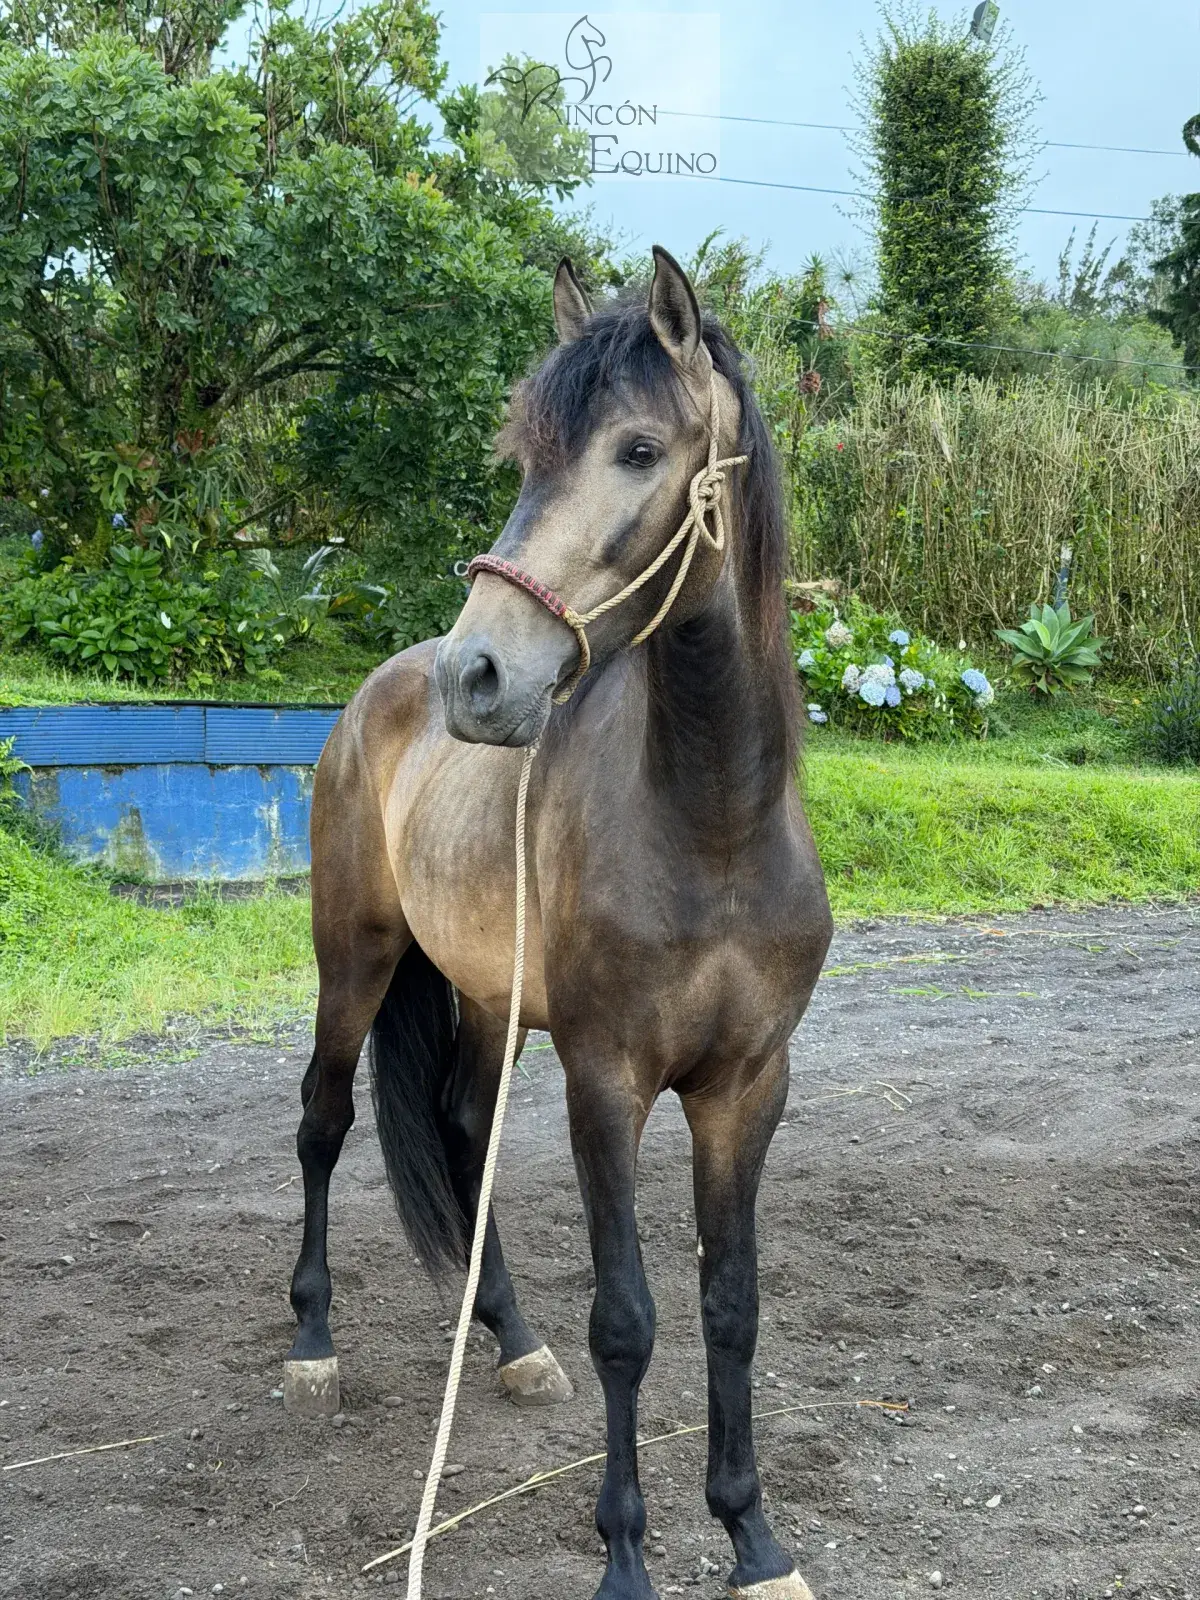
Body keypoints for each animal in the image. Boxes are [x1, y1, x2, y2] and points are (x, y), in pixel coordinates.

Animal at [283, 247, 833, 1600]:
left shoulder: (749, 1084)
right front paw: (625, 1557)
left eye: (638, 450)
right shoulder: (607, 1076)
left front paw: (754, 1540)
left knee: (464, 1129)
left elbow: (731, 1306)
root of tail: (381, 688)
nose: (479, 675)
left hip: (489, 998)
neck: (712, 826)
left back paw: (515, 1342)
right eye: (524, 455)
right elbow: (629, 1319)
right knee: (323, 1122)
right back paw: (313, 1341)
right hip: (354, 960)